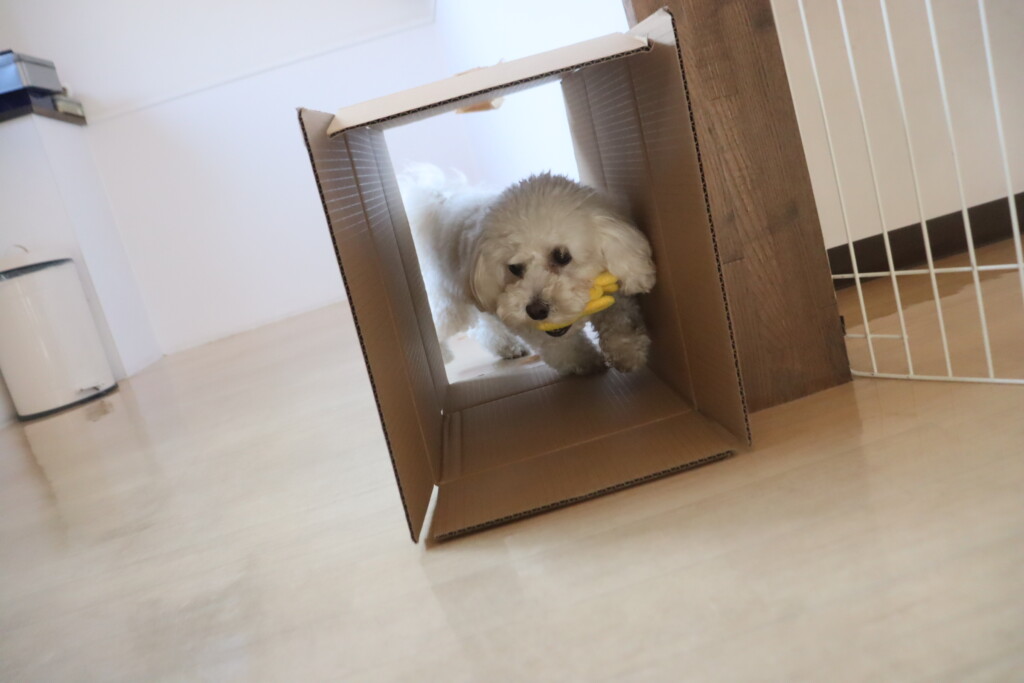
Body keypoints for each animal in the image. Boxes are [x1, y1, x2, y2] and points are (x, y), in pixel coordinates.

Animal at [401, 165, 656, 375]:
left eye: (562, 256)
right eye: (514, 267)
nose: (536, 311)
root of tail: (440, 199)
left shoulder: (616, 290)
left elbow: (619, 317)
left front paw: (628, 352)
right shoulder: (524, 320)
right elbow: (561, 347)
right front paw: (587, 363)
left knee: (484, 327)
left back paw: (507, 347)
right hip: (451, 299)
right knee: (440, 322)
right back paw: (443, 355)